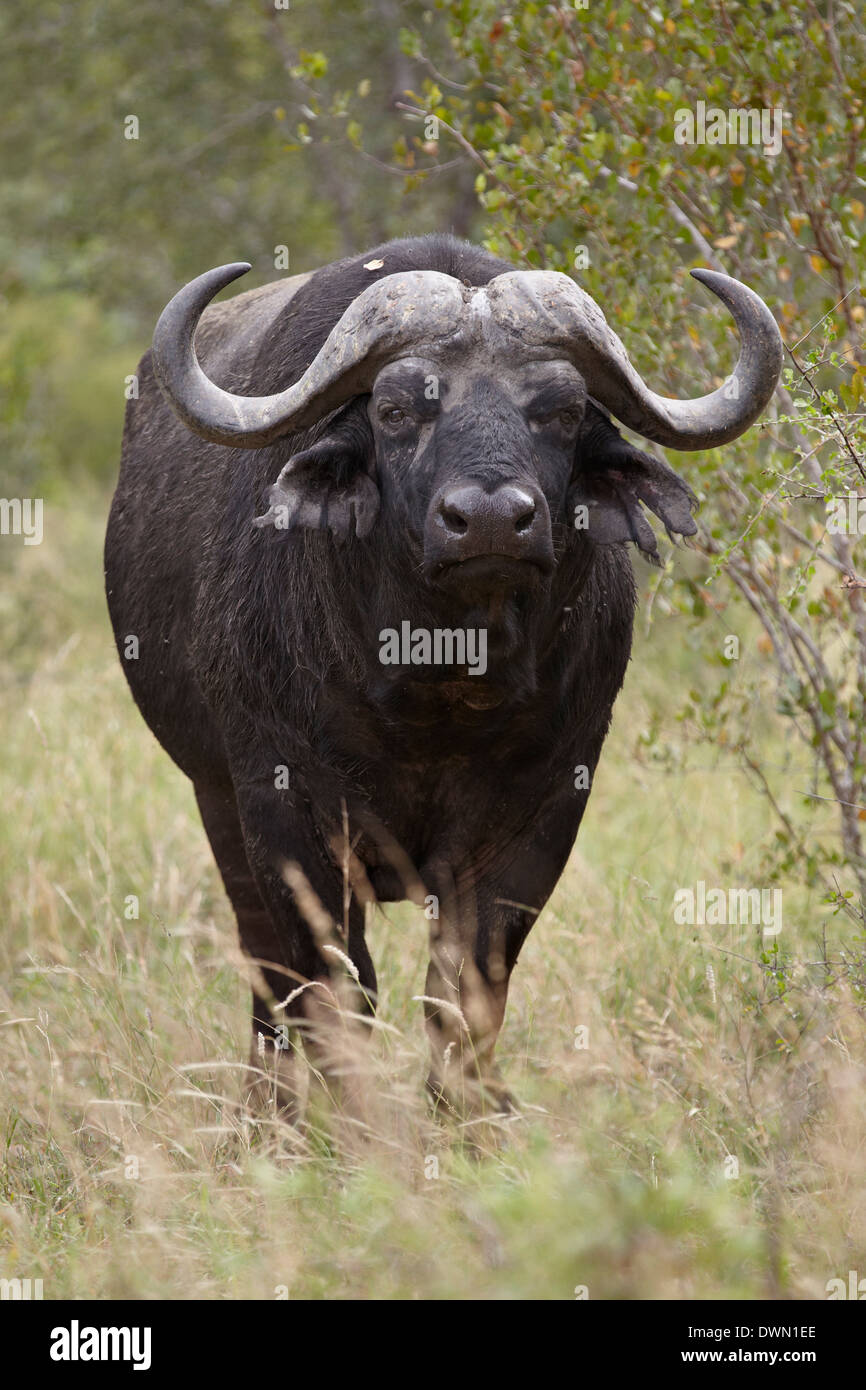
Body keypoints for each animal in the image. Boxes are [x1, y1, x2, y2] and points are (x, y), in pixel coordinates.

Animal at [104, 233, 783, 1112]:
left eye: (563, 411)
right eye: (396, 411)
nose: (490, 519)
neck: (438, 684)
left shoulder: (543, 808)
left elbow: (466, 988)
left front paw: (464, 1115)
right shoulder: (279, 805)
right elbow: (333, 985)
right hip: (215, 799)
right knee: (267, 968)